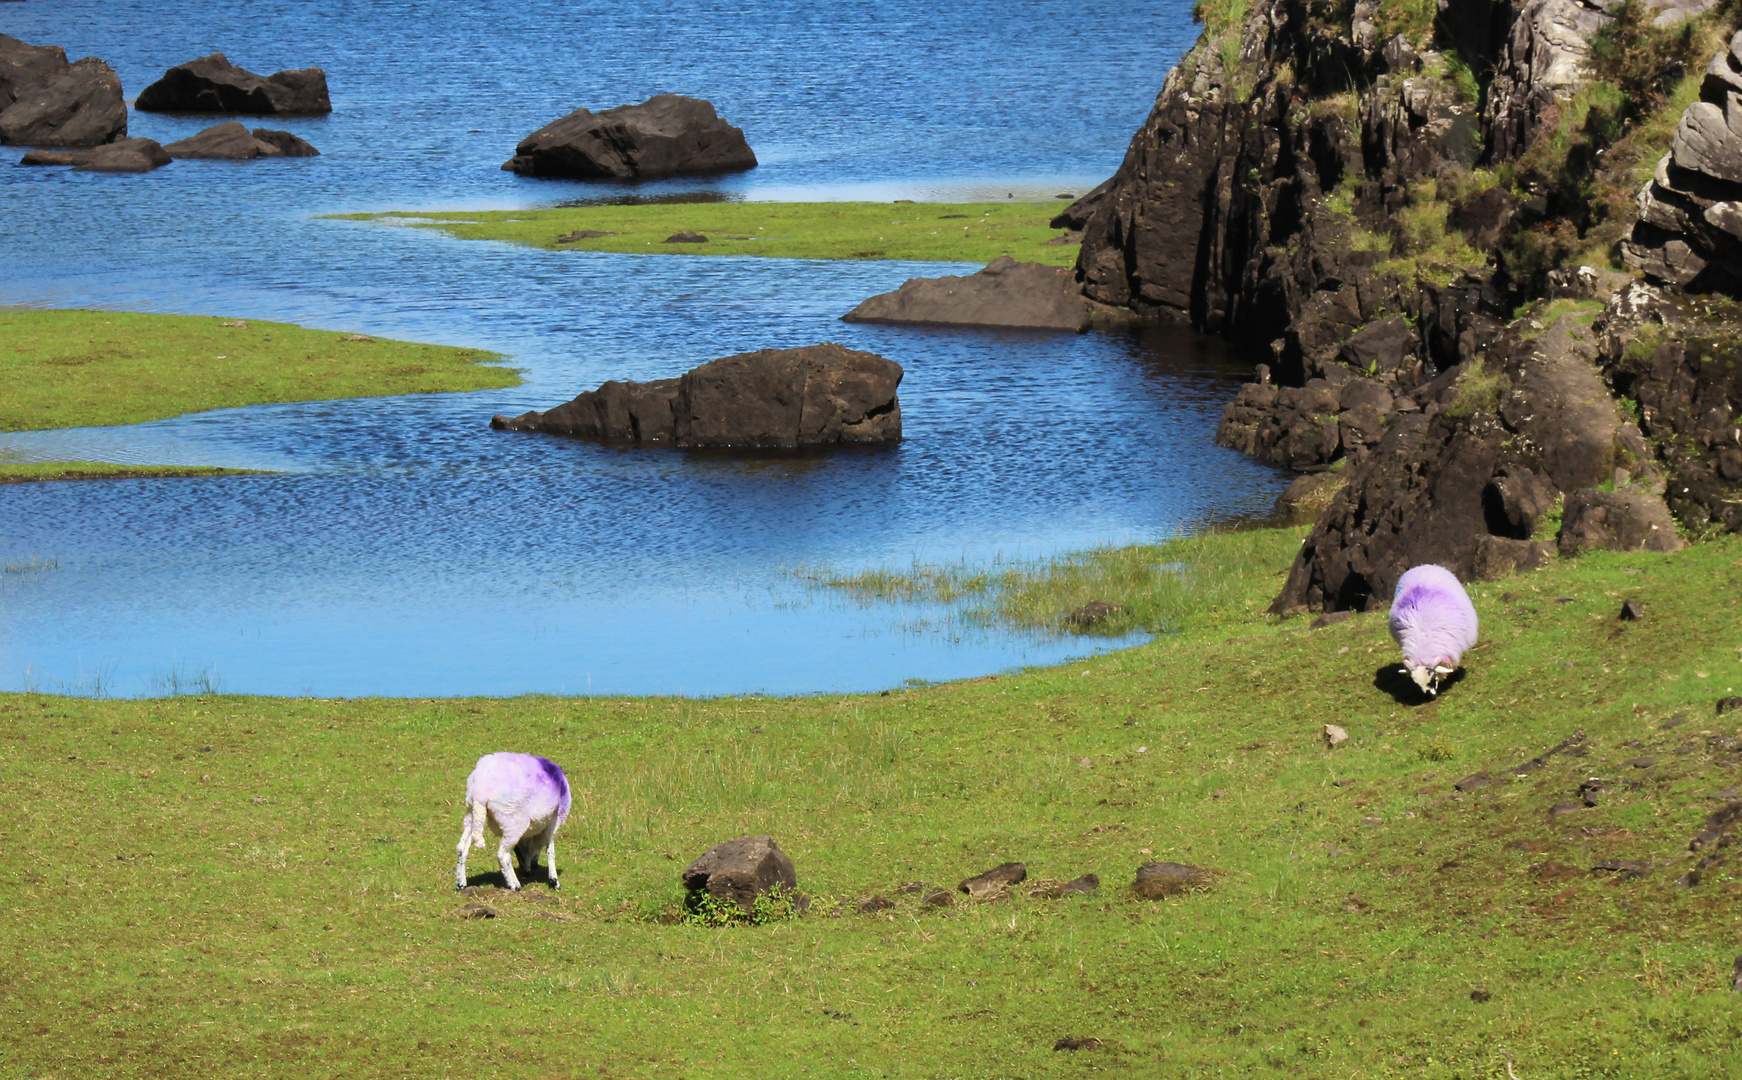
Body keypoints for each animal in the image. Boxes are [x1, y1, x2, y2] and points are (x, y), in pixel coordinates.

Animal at [456, 752, 571, 891]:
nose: (532, 867)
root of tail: (481, 791)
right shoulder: (553, 822)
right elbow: (550, 851)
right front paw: (554, 881)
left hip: (472, 815)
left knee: (462, 848)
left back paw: (461, 884)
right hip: (513, 823)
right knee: (502, 855)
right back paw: (515, 885)